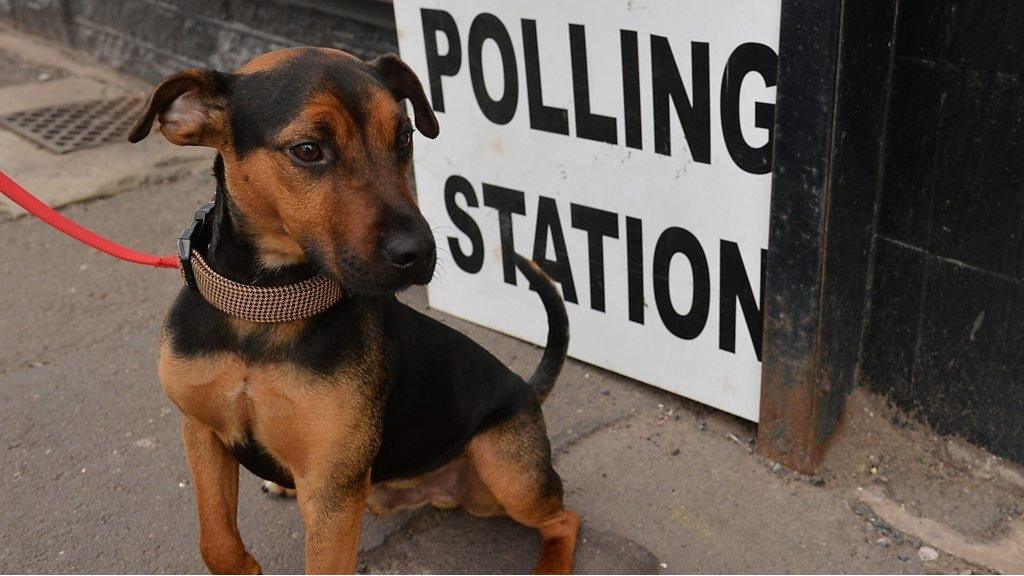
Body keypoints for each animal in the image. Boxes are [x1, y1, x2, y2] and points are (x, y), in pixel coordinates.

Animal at [124, 47, 581, 569]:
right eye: (308, 150)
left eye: (404, 138)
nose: (420, 253)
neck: (264, 309)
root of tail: (527, 390)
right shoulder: (202, 431)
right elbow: (216, 542)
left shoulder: (332, 489)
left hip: (508, 474)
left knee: (565, 519)